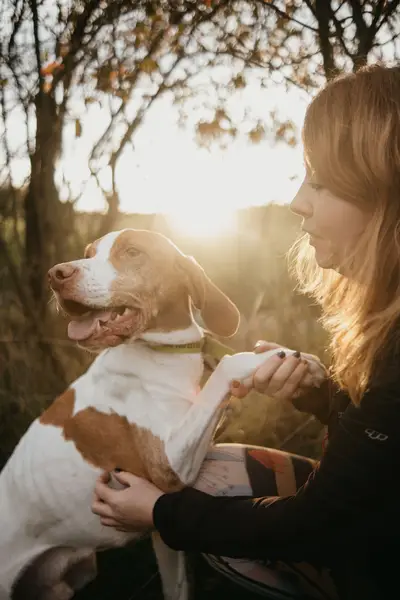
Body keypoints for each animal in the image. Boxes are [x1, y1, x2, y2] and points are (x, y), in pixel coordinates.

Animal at [0, 229, 324, 600]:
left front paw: (308, 366)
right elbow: (228, 366)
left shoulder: (161, 529)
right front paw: (268, 360)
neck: (165, 353)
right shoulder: (167, 466)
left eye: (132, 252)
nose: (56, 274)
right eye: (89, 253)